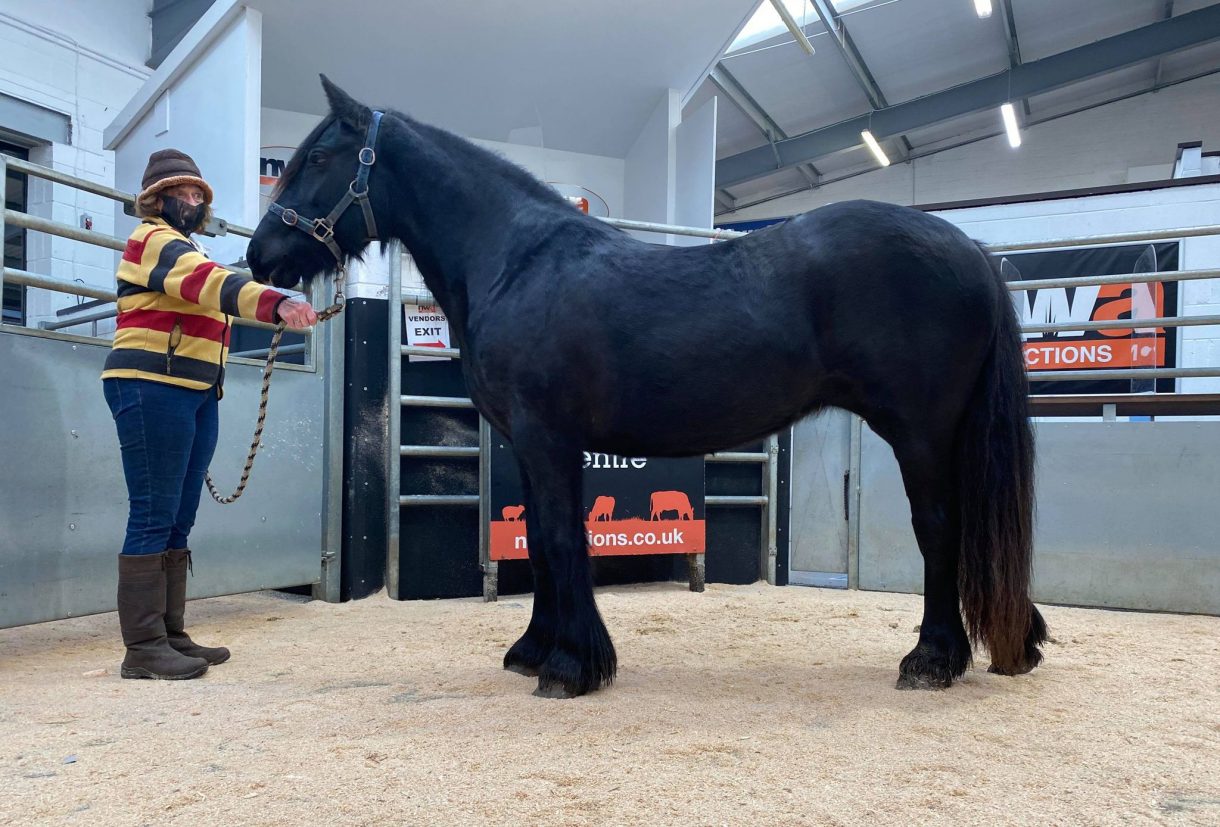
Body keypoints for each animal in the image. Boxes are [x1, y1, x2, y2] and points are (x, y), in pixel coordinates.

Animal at [247, 76, 1047, 699]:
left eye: (320, 157)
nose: (261, 256)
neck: (516, 260)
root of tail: (972, 250)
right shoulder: (528, 445)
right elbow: (540, 543)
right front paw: (534, 650)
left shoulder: (546, 436)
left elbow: (562, 539)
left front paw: (571, 666)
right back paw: (1017, 641)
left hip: (921, 432)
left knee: (939, 529)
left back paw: (932, 659)